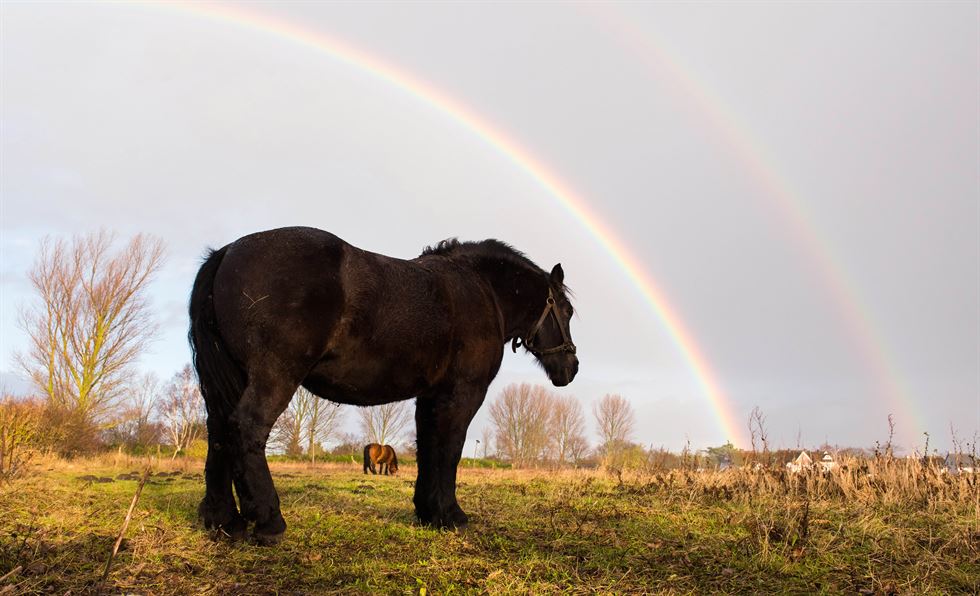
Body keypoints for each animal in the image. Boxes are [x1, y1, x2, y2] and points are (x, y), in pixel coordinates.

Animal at [188, 228, 580, 544]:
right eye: (567, 311)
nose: (572, 367)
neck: (482, 291)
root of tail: (227, 253)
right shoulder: (462, 394)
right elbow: (449, 450)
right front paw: (451, 515)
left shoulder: (430, 396)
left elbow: (428, 449)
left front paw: (428, 513)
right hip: (274, 376)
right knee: (246, 428)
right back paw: (269, 521)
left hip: (229, 382)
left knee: (219, 432)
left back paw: (224, 521)